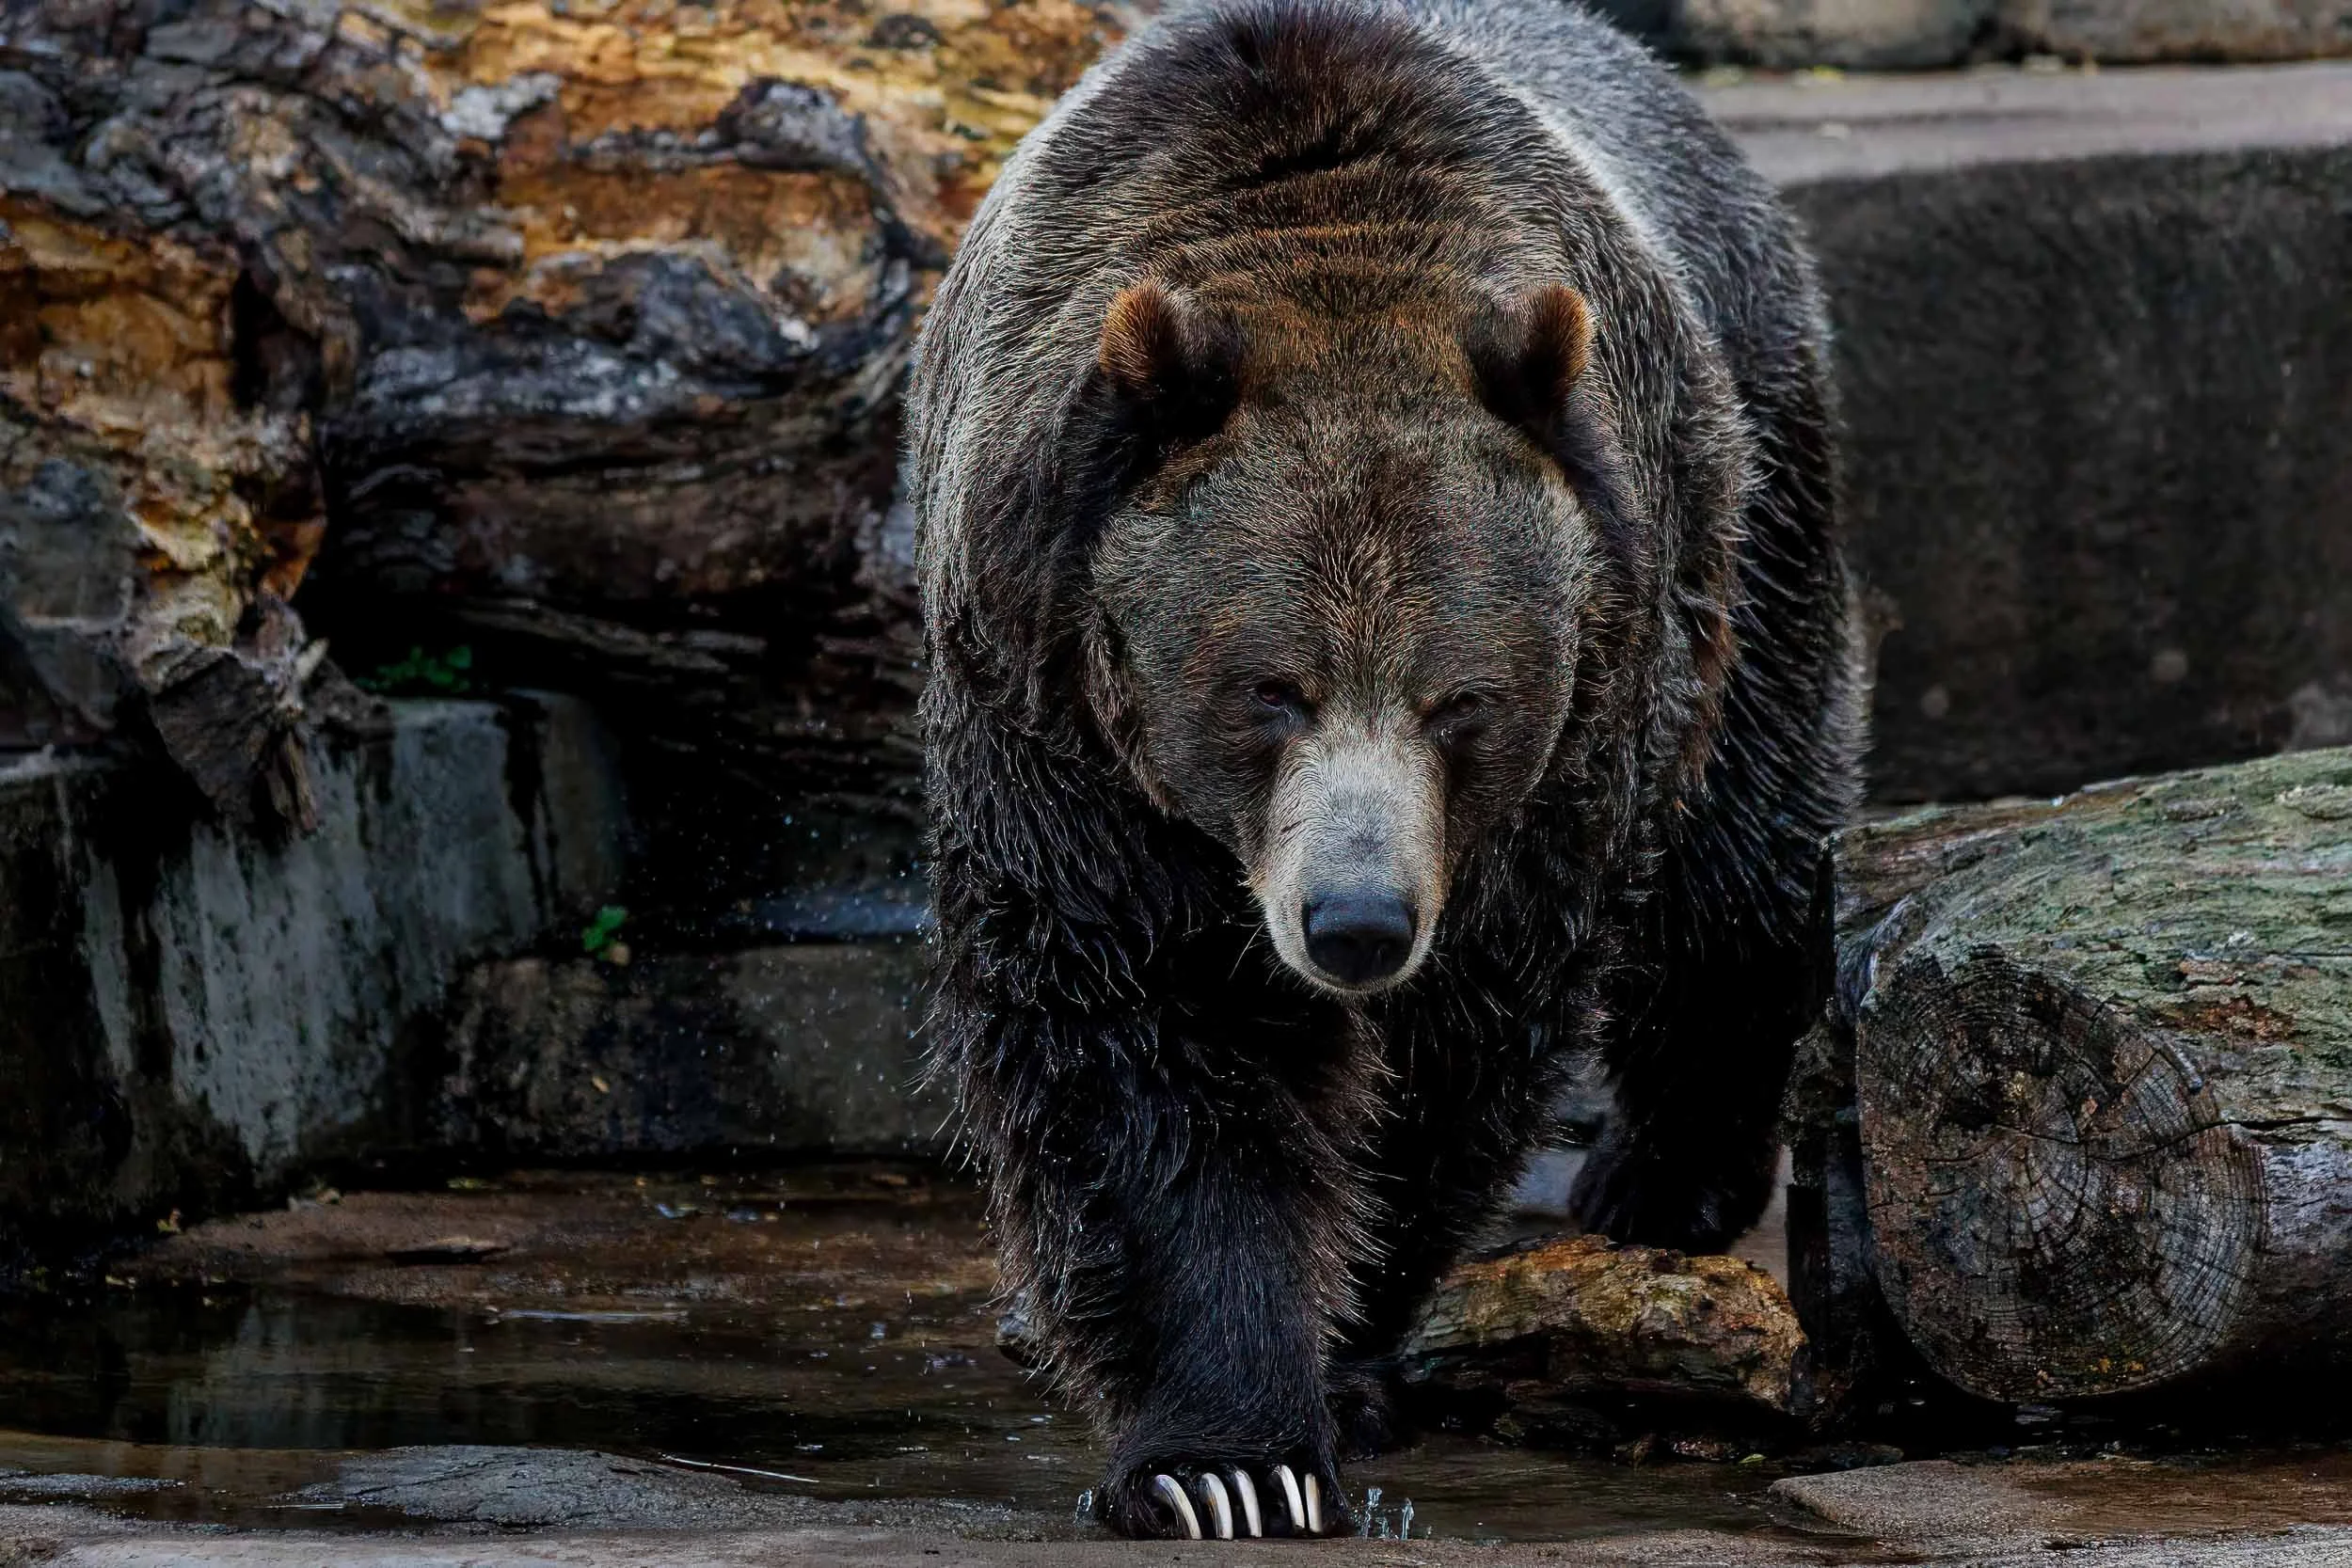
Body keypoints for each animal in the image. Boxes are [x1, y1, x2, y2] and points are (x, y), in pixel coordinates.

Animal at [906, 0, 1861, 1540]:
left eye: (1459, 697)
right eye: (1270, 688)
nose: (1355, 919)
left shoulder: (1554, 768)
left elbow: (1449, 1064)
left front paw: (1345, 1341)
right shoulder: (1060, 734)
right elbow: (1142, 1052)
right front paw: (1224, 1458)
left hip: (1751, 501)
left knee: (1742, 844)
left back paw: (1665, 1170)